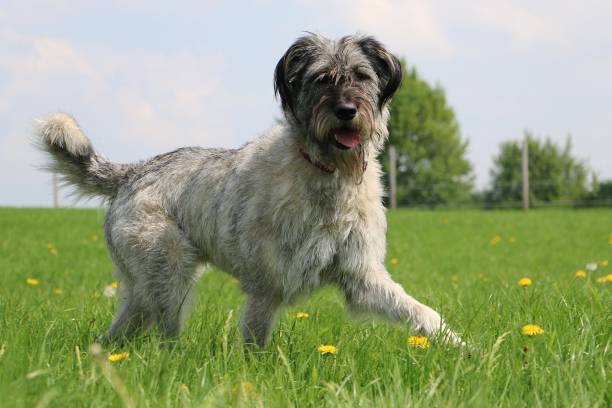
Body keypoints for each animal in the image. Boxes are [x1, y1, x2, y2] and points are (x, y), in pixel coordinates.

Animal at [37, 34, 460, 348]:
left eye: (361, 75)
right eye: (322, 78)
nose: (346, 111)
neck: (326, 173)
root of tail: (133, 172)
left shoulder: (361, 277)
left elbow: (421, 312)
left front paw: (461, 349)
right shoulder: (267, 284)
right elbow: (256, 337)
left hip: (147, 285)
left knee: (122, 330)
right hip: (169, 274)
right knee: (163, 332)